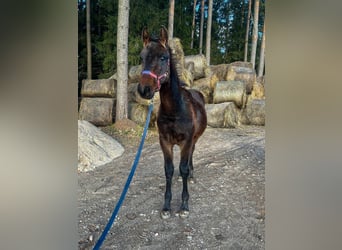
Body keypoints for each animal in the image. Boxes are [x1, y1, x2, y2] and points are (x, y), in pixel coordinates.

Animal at [138, 26, 207, 219]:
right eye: (141, 57)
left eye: (163, 57)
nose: (144, 90)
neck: (175, 109)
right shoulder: (165, 141)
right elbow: (168, 170)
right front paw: (166, 206)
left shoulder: (186, 141)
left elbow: (183, 168)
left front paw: (184, 205)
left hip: (194, 140)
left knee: (190, 156)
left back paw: (191, 175)